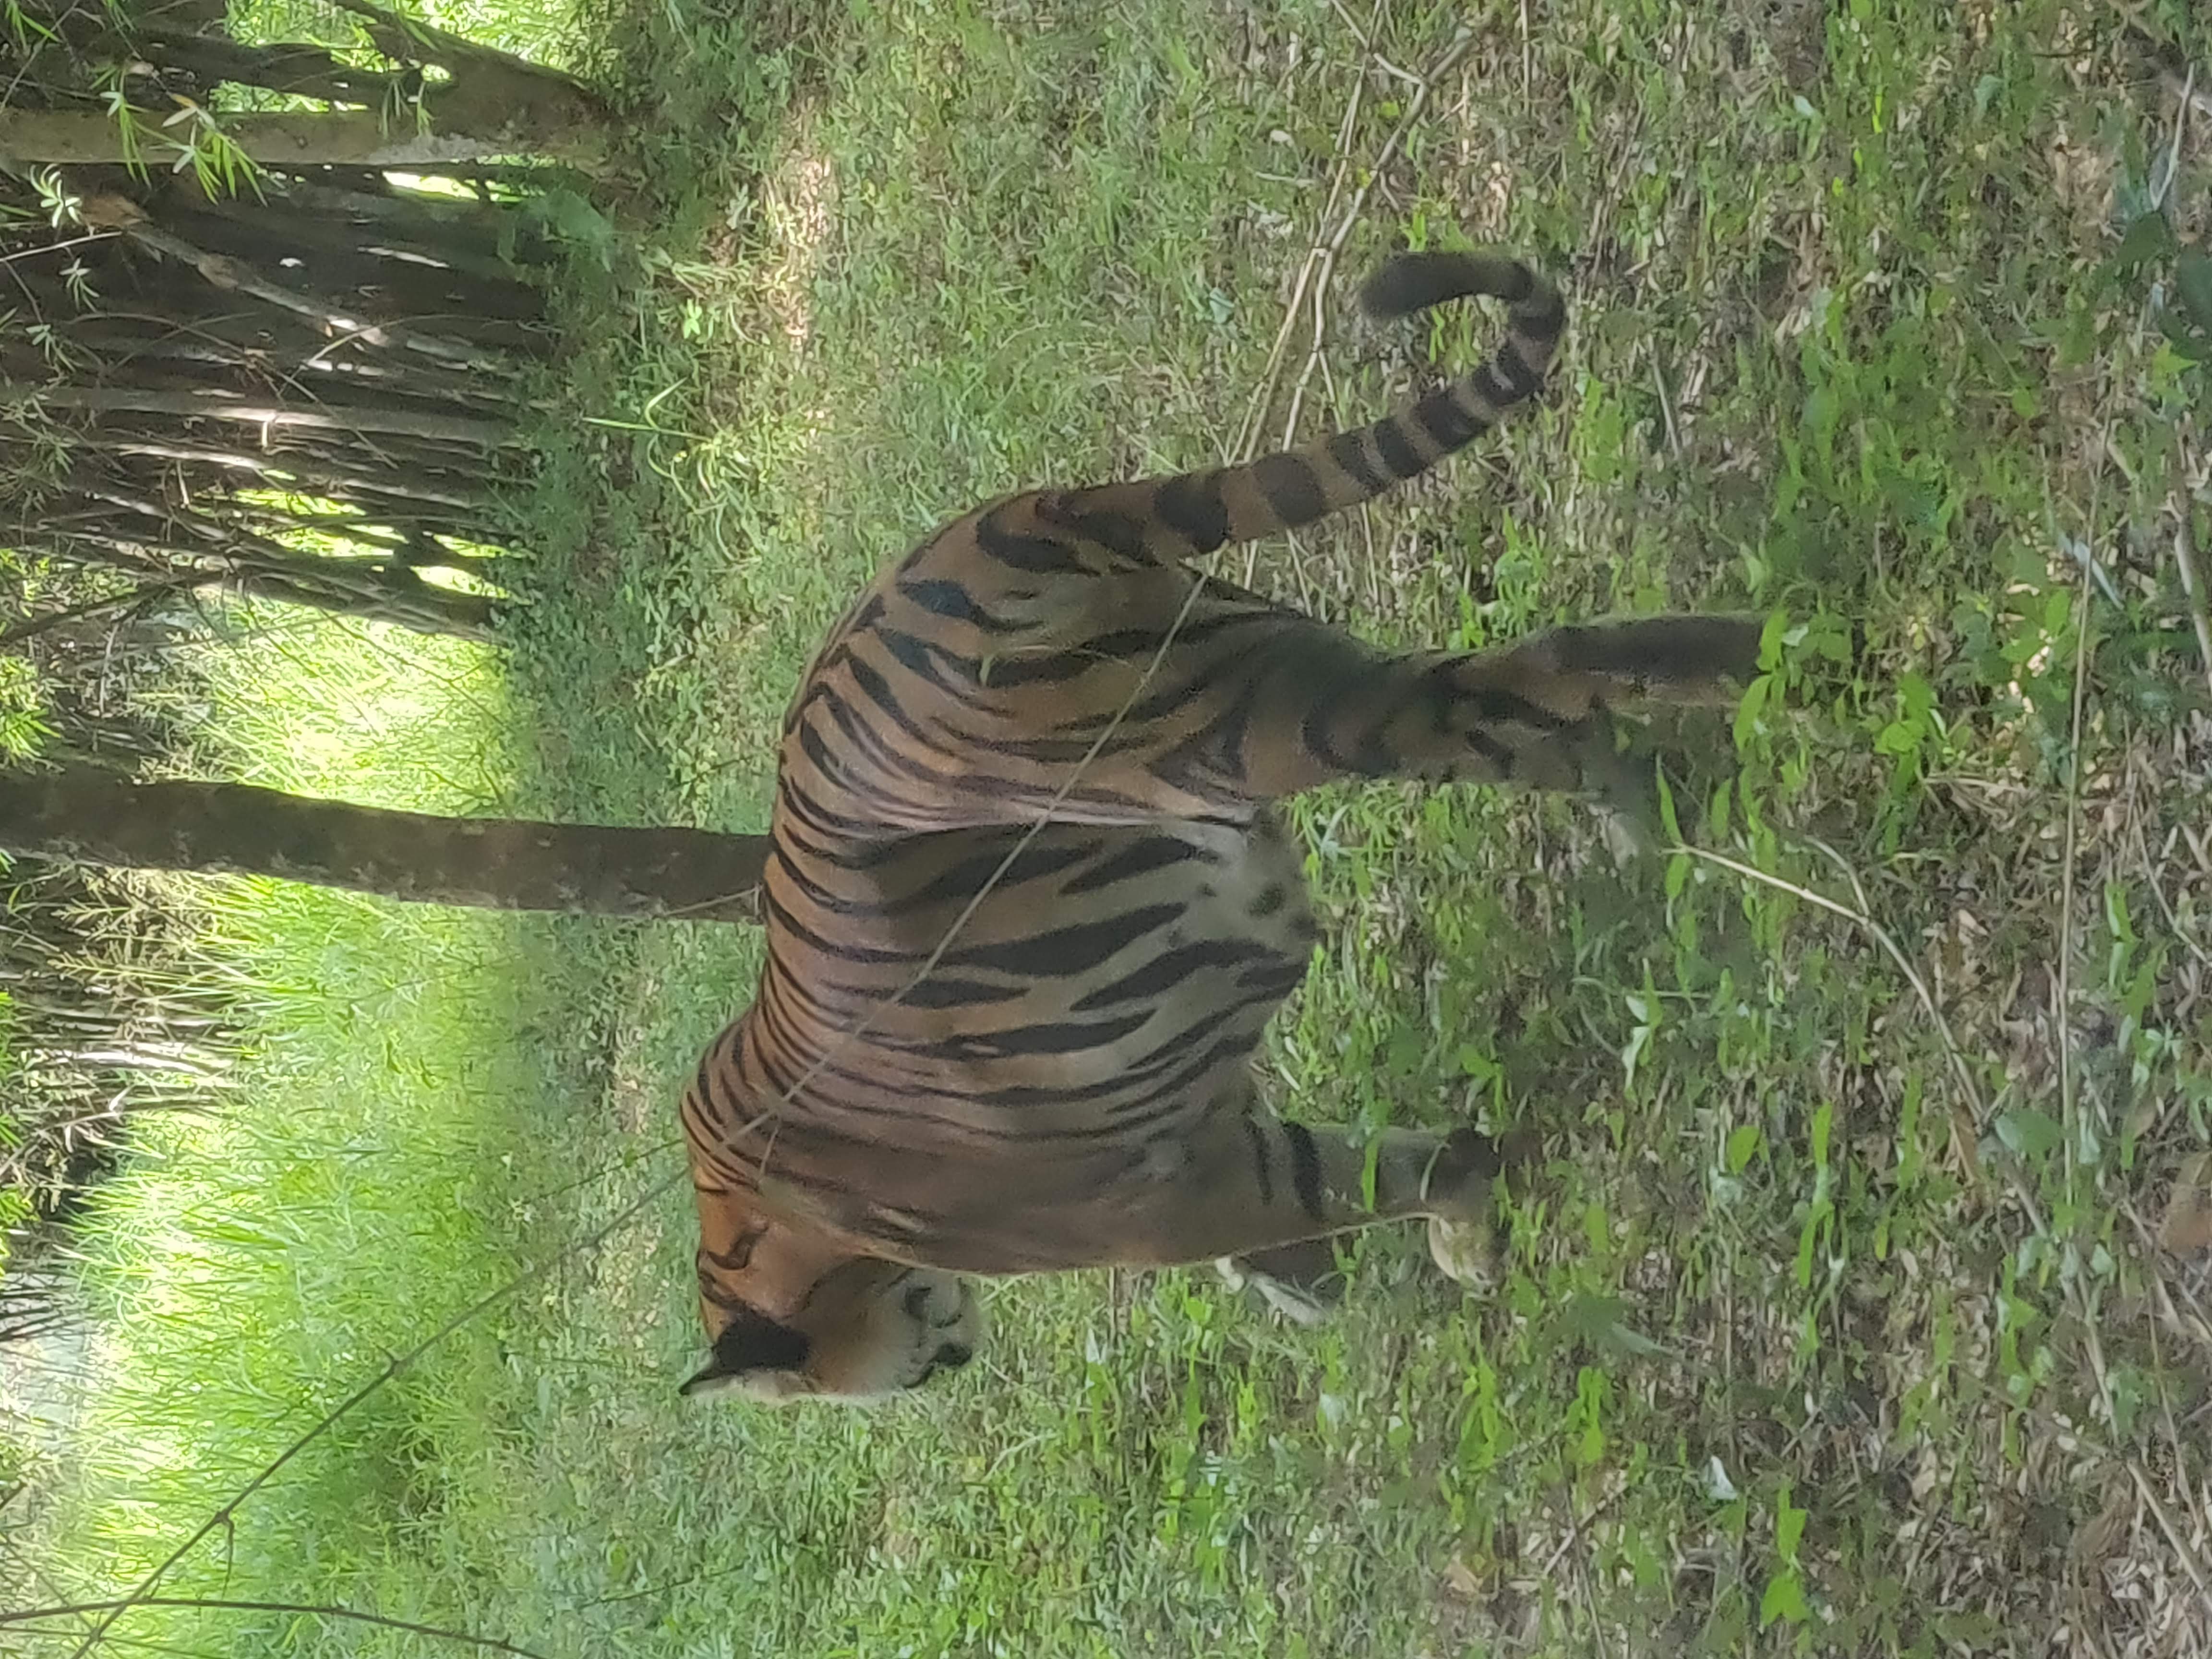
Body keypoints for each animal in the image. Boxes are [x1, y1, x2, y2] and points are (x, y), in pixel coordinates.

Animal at [677, 248, 1762, 1403]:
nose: (951, 1362)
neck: (774, 1231)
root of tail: (1010, 526)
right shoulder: (1200, 1123)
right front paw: (1329, 1276)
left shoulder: (1138, 1206)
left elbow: (1374, 1178)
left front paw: (1454, 1238)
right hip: (1273, 672)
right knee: (1531, 715)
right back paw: (1660, 813)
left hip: (1252, 726)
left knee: (1539, 670)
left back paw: (1766, 672)